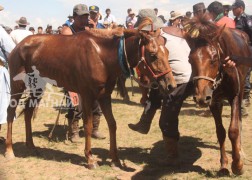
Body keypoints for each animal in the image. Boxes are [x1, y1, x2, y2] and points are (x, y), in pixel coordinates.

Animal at [4, 19, 176, 169]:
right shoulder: (86, 95)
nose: (171, 85)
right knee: (11, 112)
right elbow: (87, 125)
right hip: (18, 86)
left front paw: (115, 160)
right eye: (153, 54)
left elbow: (112, 124)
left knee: (28, 112)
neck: (101, 55)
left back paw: (31, 146)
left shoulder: (104, 96)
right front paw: (90, 158)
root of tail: (18, 46)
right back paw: (9, 150)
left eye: (168, 52)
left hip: (38, 87)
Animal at [184, 17, 251, 175]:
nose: (201, 97)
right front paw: (224, 164)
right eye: (190, 60)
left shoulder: (234, 96)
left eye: (214, 59)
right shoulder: (214, 101)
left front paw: (237, 164)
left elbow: (233, 130)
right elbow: (220, 132)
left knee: (239, 120)